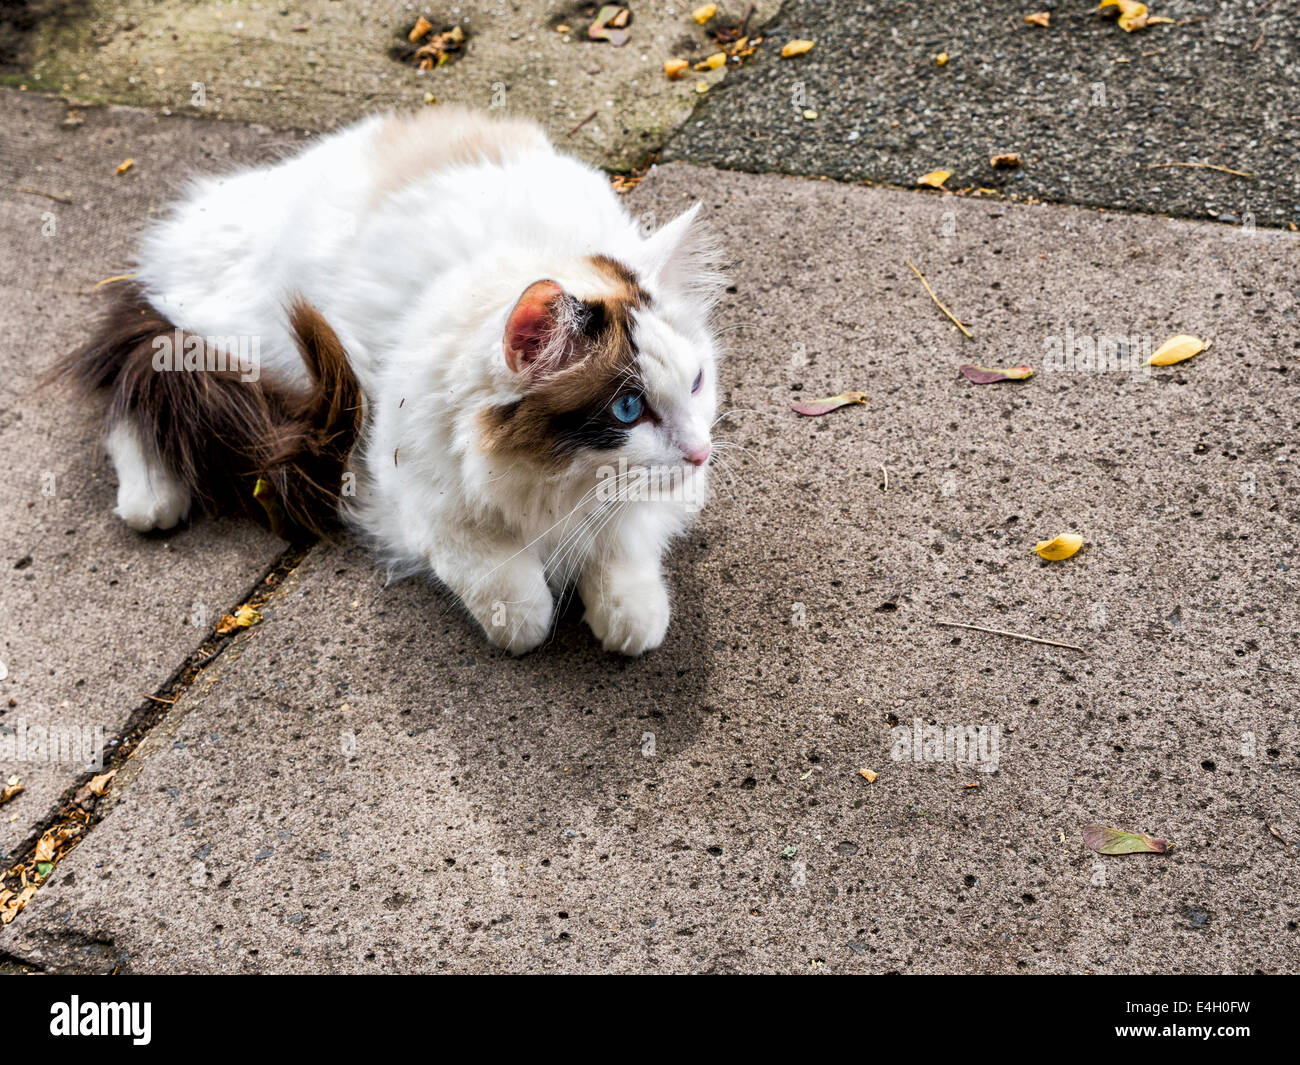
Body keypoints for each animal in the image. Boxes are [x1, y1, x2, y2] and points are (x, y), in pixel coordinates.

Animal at [58, 108, 722, 657]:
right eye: (628, 409)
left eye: (696, 384)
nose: (701, 453)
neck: (552, 483)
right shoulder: (406, 489)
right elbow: (504, 587)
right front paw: (527, 618)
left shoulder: (653, 503)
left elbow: (627, 550)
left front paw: (629, 616)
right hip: (242, 345)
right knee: (139, 397)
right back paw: (150, 501)